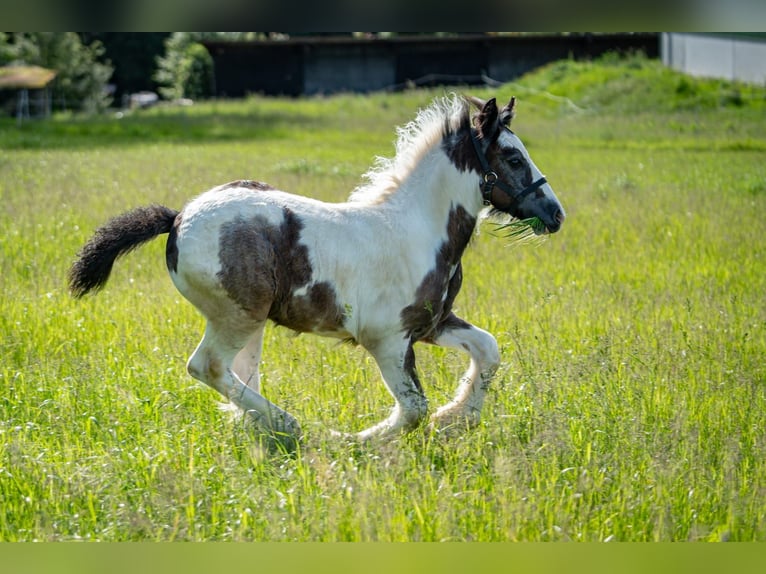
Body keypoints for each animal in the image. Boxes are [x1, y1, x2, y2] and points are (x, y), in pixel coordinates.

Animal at [70, 93, 564, 446]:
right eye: (514, 158)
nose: (556, 213)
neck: (419, 229)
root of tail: (177, 217)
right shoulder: (388, 339)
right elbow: (411, 410)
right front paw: (354, 440)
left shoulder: (432, 323)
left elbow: (487, 350)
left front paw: (456, 418)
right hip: (237, 316)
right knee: (206, 366)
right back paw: (293, 428)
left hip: (251, 323)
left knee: (237, 374)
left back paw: (264, 430)